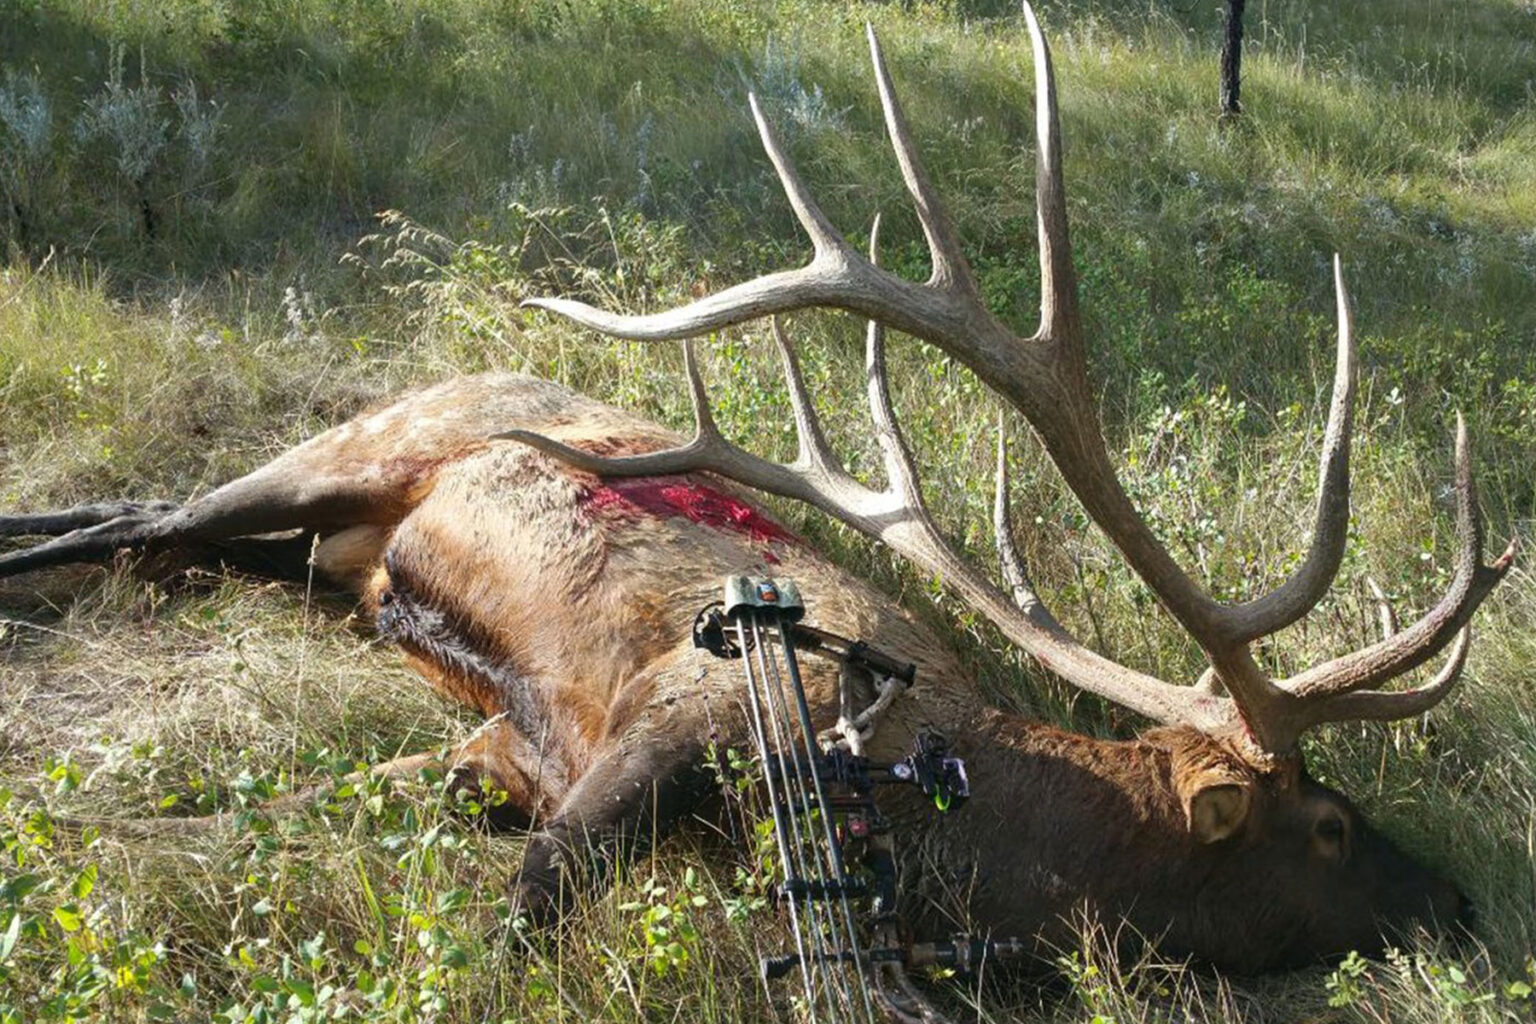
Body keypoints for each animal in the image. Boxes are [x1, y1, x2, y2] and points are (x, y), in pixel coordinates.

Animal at [0, 2, 1513, 987]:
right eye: (1331, 827)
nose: (1461, 902)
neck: (941, 796)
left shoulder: (502, 749)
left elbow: (285, 809)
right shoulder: (666, 720)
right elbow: (525, 915)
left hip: (337, 554)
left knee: (145, 536)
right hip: (357, 446)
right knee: (144, 518)